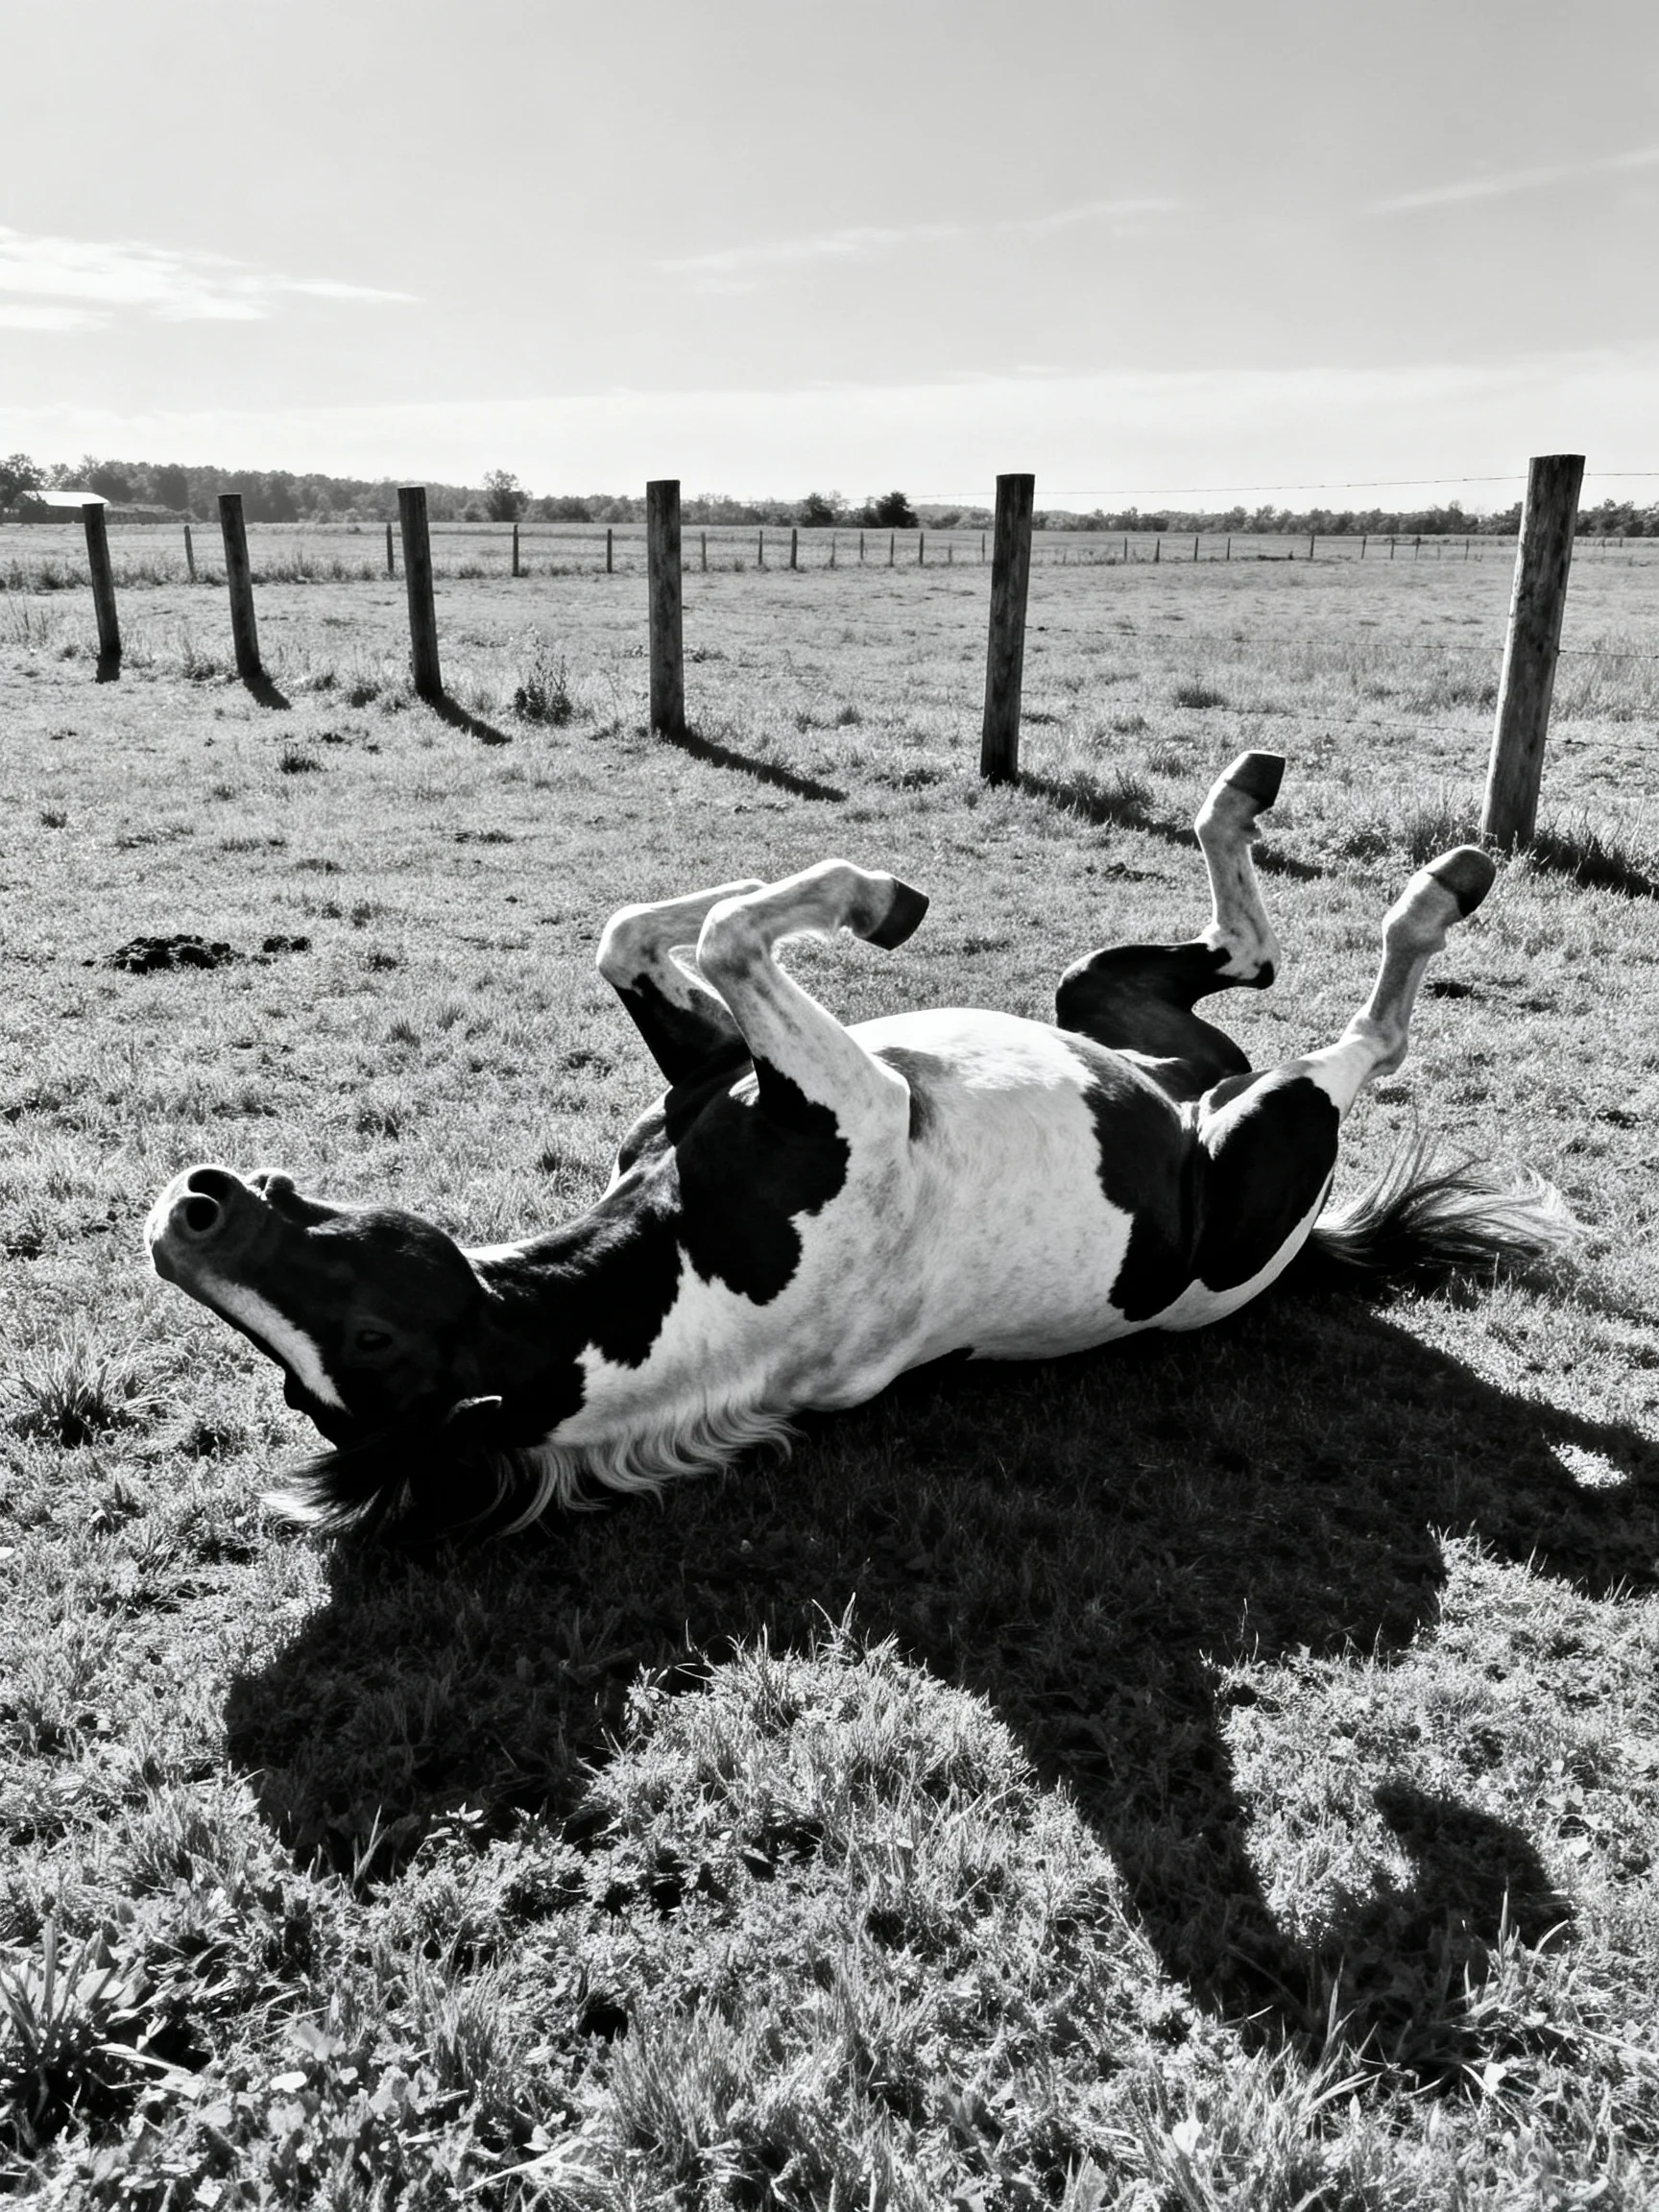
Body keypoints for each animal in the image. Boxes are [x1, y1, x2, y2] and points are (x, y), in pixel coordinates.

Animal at [147, 751, 1568, 1537]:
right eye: (363, 1352)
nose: (184, 1218)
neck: (687, 1269)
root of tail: (1194, 1106)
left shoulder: (716, 1067)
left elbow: (637, 932)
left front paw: (823, 892)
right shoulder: (858, 1104)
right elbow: (730, 934)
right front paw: (879, 898)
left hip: (1111, 1008)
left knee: (1244, 952)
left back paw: (1254, 791)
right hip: (1269, 1137)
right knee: (1359, 1041)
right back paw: (1440, 885)